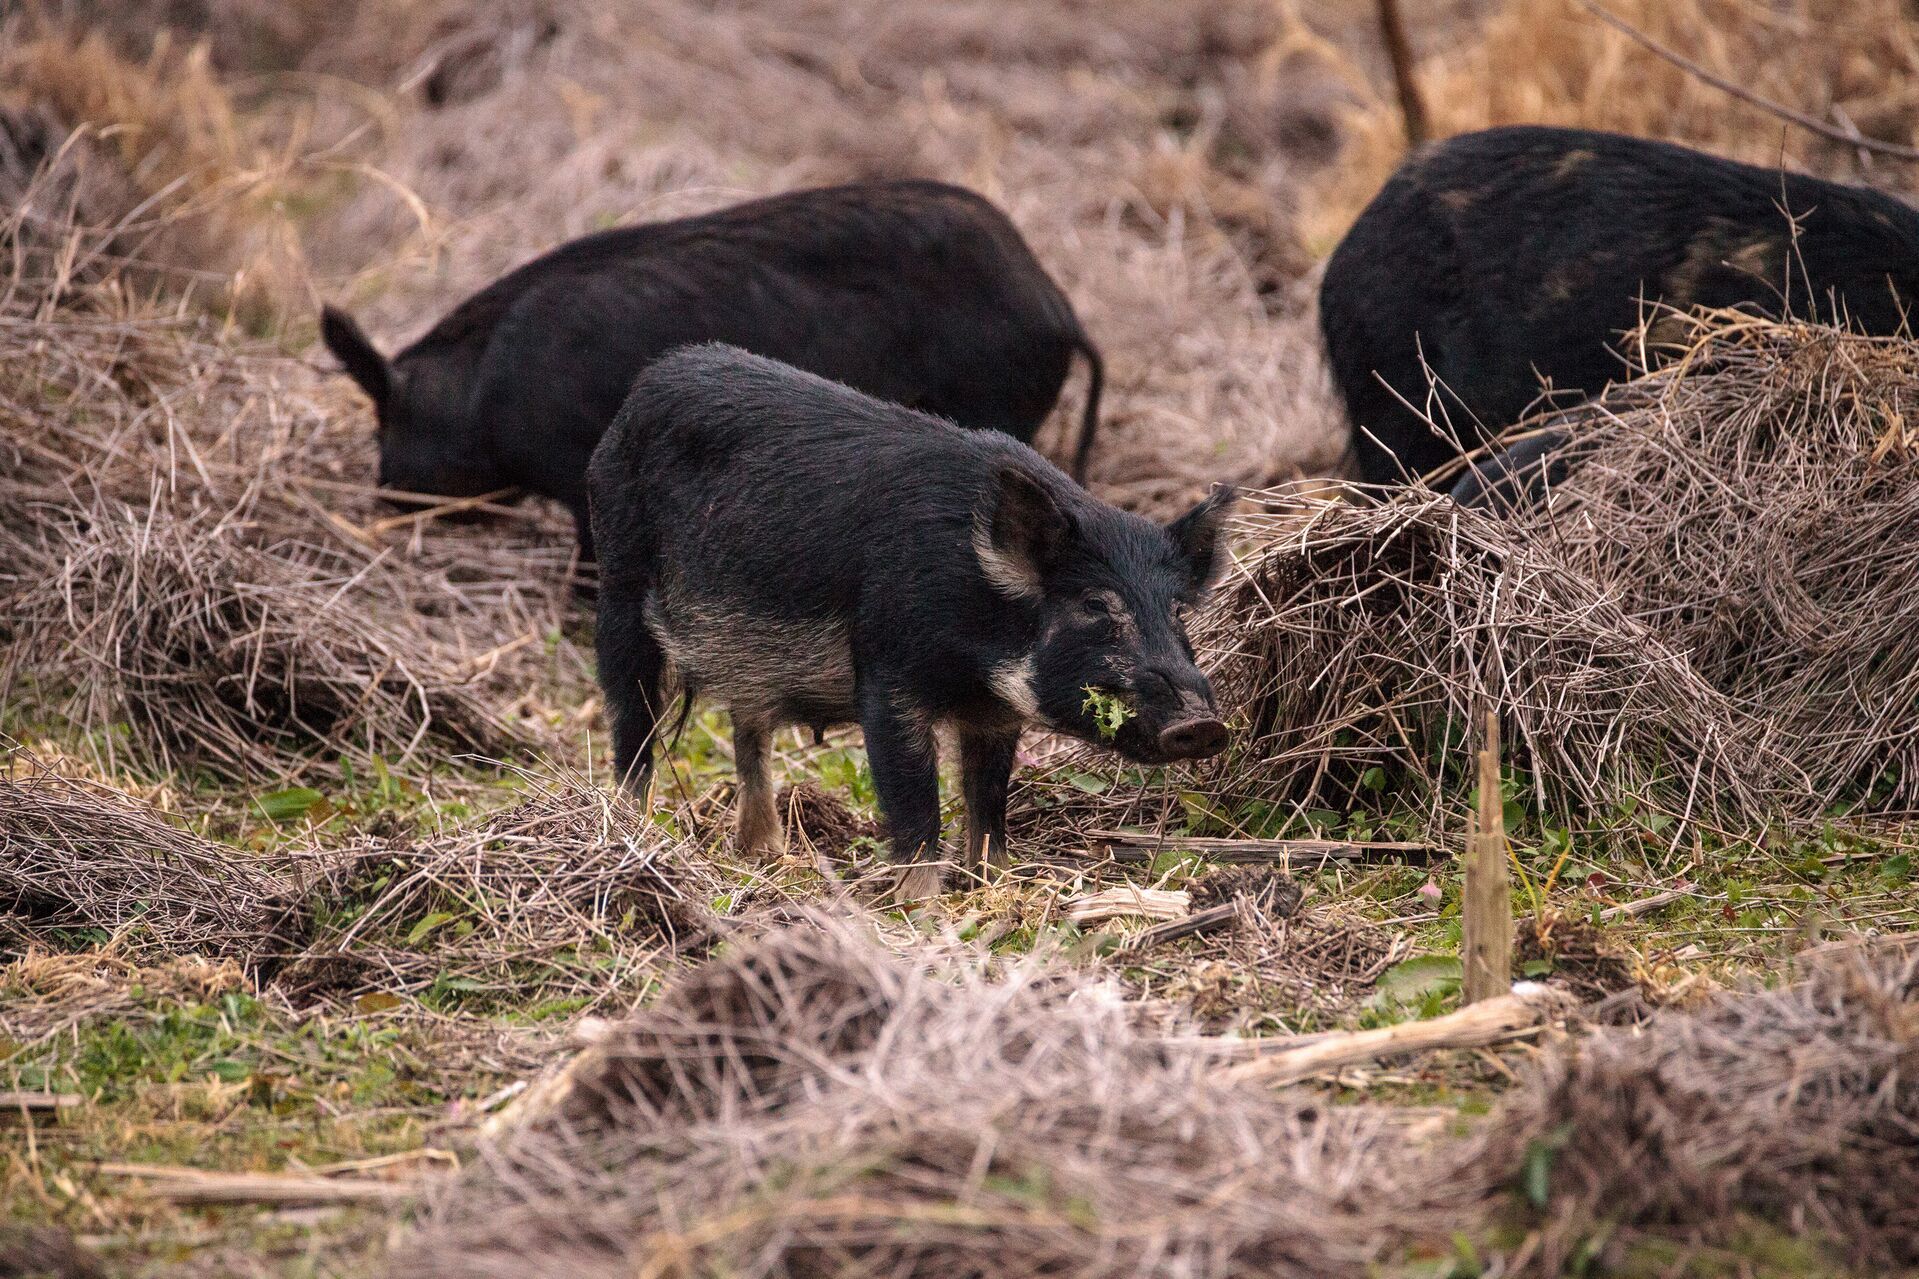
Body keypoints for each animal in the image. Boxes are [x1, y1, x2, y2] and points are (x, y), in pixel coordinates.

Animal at [583, 343, 1235, 891]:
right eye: (1095, 605)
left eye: (1177, 609)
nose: (1202, 723)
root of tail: (647, 382)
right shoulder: (887, 673)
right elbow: (913, 803)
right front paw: (920, 906)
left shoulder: (994, 714)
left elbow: (989, 799)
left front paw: (994, 883)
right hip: (618, 584)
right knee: (632, 724)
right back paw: (631, 831)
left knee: (751, 730)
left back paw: (766, 854)